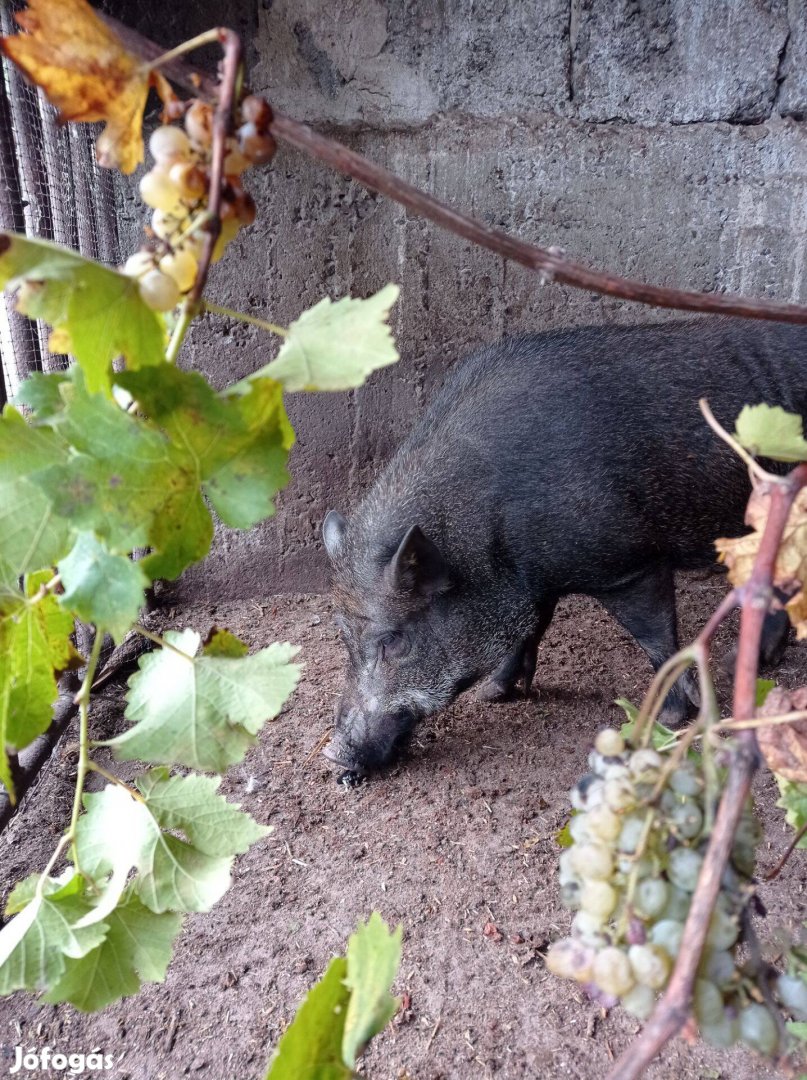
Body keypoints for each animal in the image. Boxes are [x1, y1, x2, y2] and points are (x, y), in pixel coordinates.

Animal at [319, 315, 803, 773]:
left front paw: (668, 719)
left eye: (393, 639)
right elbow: (531, 628)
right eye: (342, 636)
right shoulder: (537, 580)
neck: (486, 543)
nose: (335, 755)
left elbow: (655, 638)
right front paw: (495, 693)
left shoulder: (630, 564)